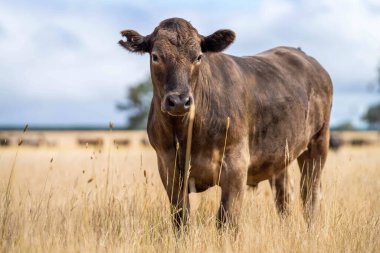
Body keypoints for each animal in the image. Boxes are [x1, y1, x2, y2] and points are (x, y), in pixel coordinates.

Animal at [119, 17, 332, 231]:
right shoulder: (168, 167)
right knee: (284, 194)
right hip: (280, 153)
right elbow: (181, 218)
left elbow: (226, 220)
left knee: (310, 193)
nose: (179, 101)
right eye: (155, 56)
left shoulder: (236, 164)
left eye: (198, 57)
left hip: (318, 141)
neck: (186, 133)